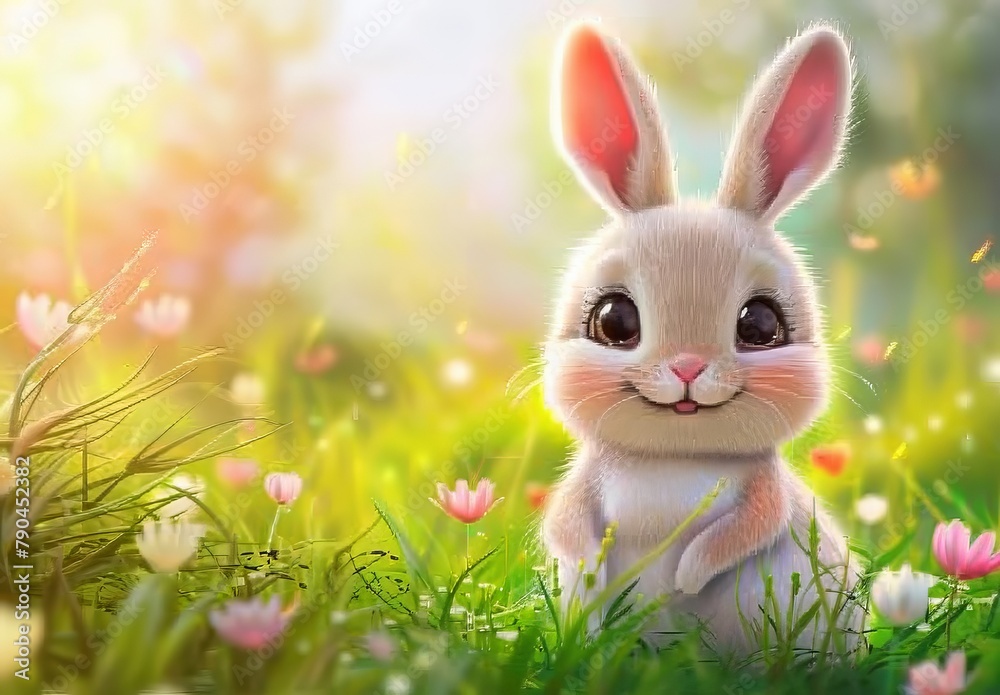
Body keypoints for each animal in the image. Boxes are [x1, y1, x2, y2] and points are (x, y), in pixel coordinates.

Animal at [539, 22, 863, 656]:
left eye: (760, 326)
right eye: (614, 322)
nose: (687, 368)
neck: (675, 456)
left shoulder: (764, 493)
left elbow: (747, 529)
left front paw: (687, 577)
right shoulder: (581, 487)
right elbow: (565, 525)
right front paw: (593, 577)